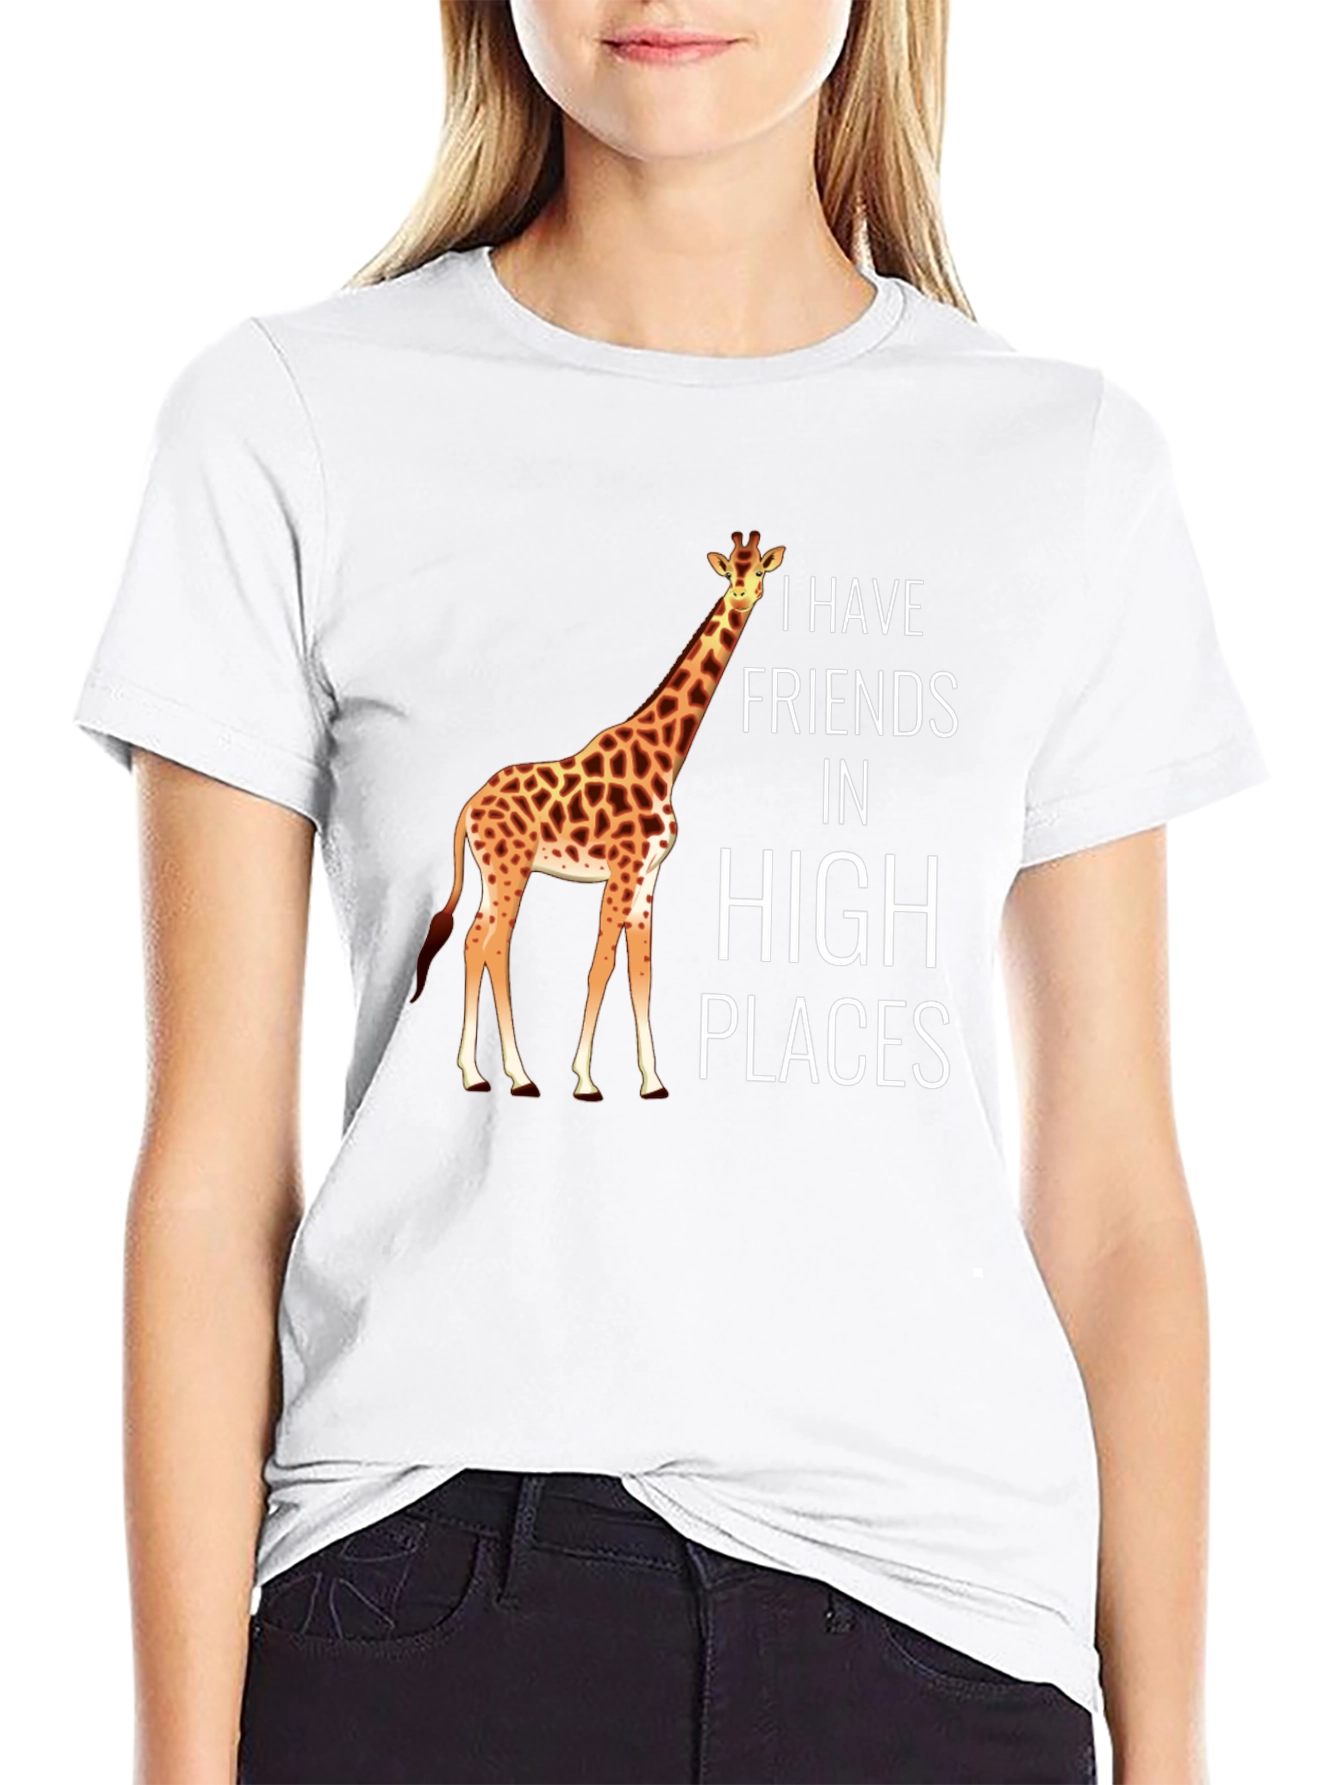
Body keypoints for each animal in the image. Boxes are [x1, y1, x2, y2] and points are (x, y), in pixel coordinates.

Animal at [409, 529, 786, 1101]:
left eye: (760, 570)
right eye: (731, 572)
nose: (743, 596)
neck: (665, 758)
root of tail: (468, 806)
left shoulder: (649, 876)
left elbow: (642, 972)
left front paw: (651, 1080)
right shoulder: (624, 870)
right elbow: (601, 965)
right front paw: (585, 1079)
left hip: (496, 873)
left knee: (479, 942)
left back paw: (488, 1073)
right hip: (509, 870)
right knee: (492, 944)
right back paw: (508, 1075)